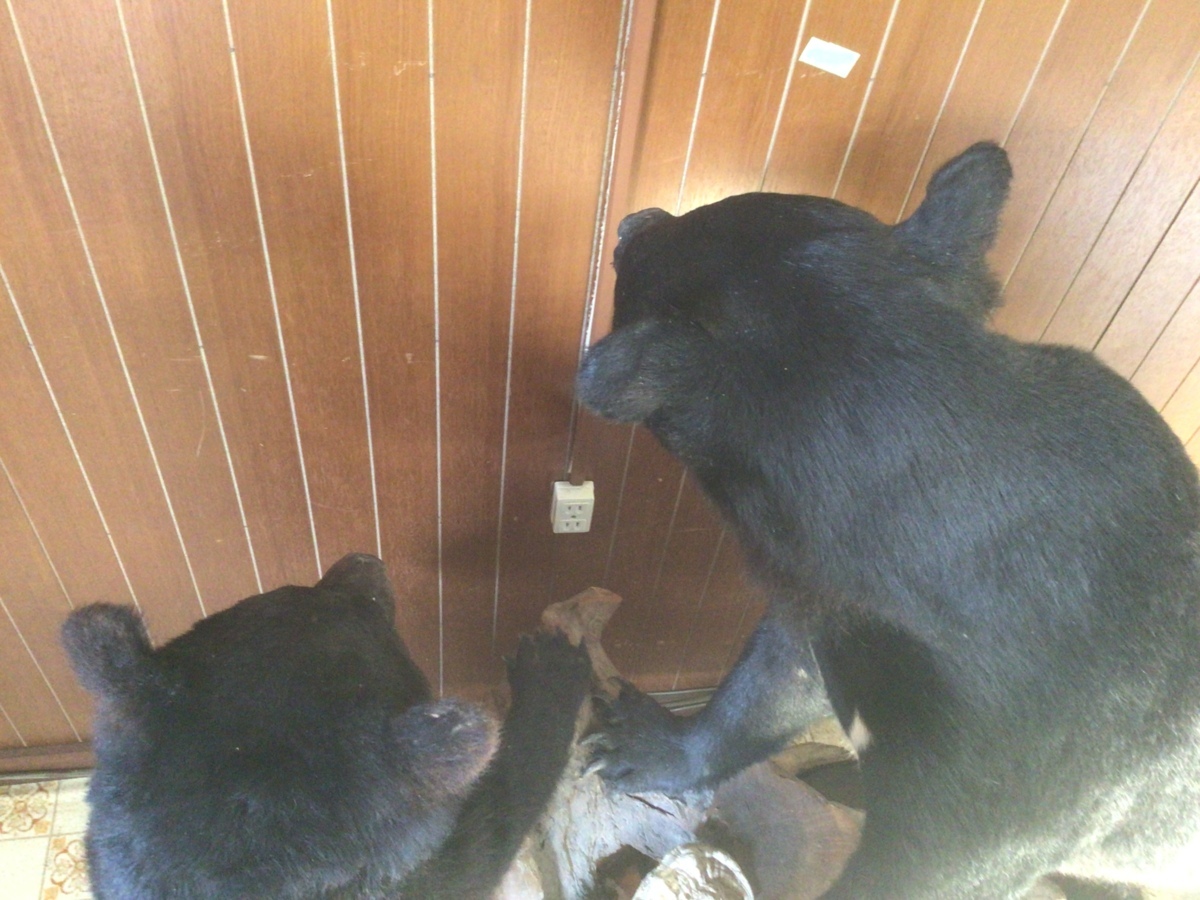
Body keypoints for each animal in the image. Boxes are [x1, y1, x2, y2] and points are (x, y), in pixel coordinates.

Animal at [61, 552, 590, 899]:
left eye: (290, 588)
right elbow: (491, 817)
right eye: (367, 608)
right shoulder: (422, 874)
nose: (363, 558)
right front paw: (549, 666)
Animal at [575, 142, 1200, 898]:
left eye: (632, 264)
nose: (631, 221)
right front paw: (648, 746)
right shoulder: (837, 609)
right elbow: (767, 687)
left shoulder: (1006, 795)